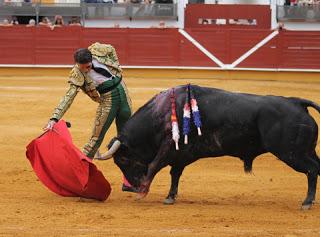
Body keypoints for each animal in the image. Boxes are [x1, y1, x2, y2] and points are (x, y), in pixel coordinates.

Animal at [101, 85, 320, 209]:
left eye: (122, 159)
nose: (127, 186)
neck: (162, 113)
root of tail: (297, 102)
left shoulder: (169, 147)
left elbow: (155, 165)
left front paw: (143, 192)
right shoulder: (181, 154)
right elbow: (175, 173)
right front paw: (170, 197)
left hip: (291, 153)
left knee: (312, 169)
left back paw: (307, 202)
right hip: (305, 151)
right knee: (316, 168)